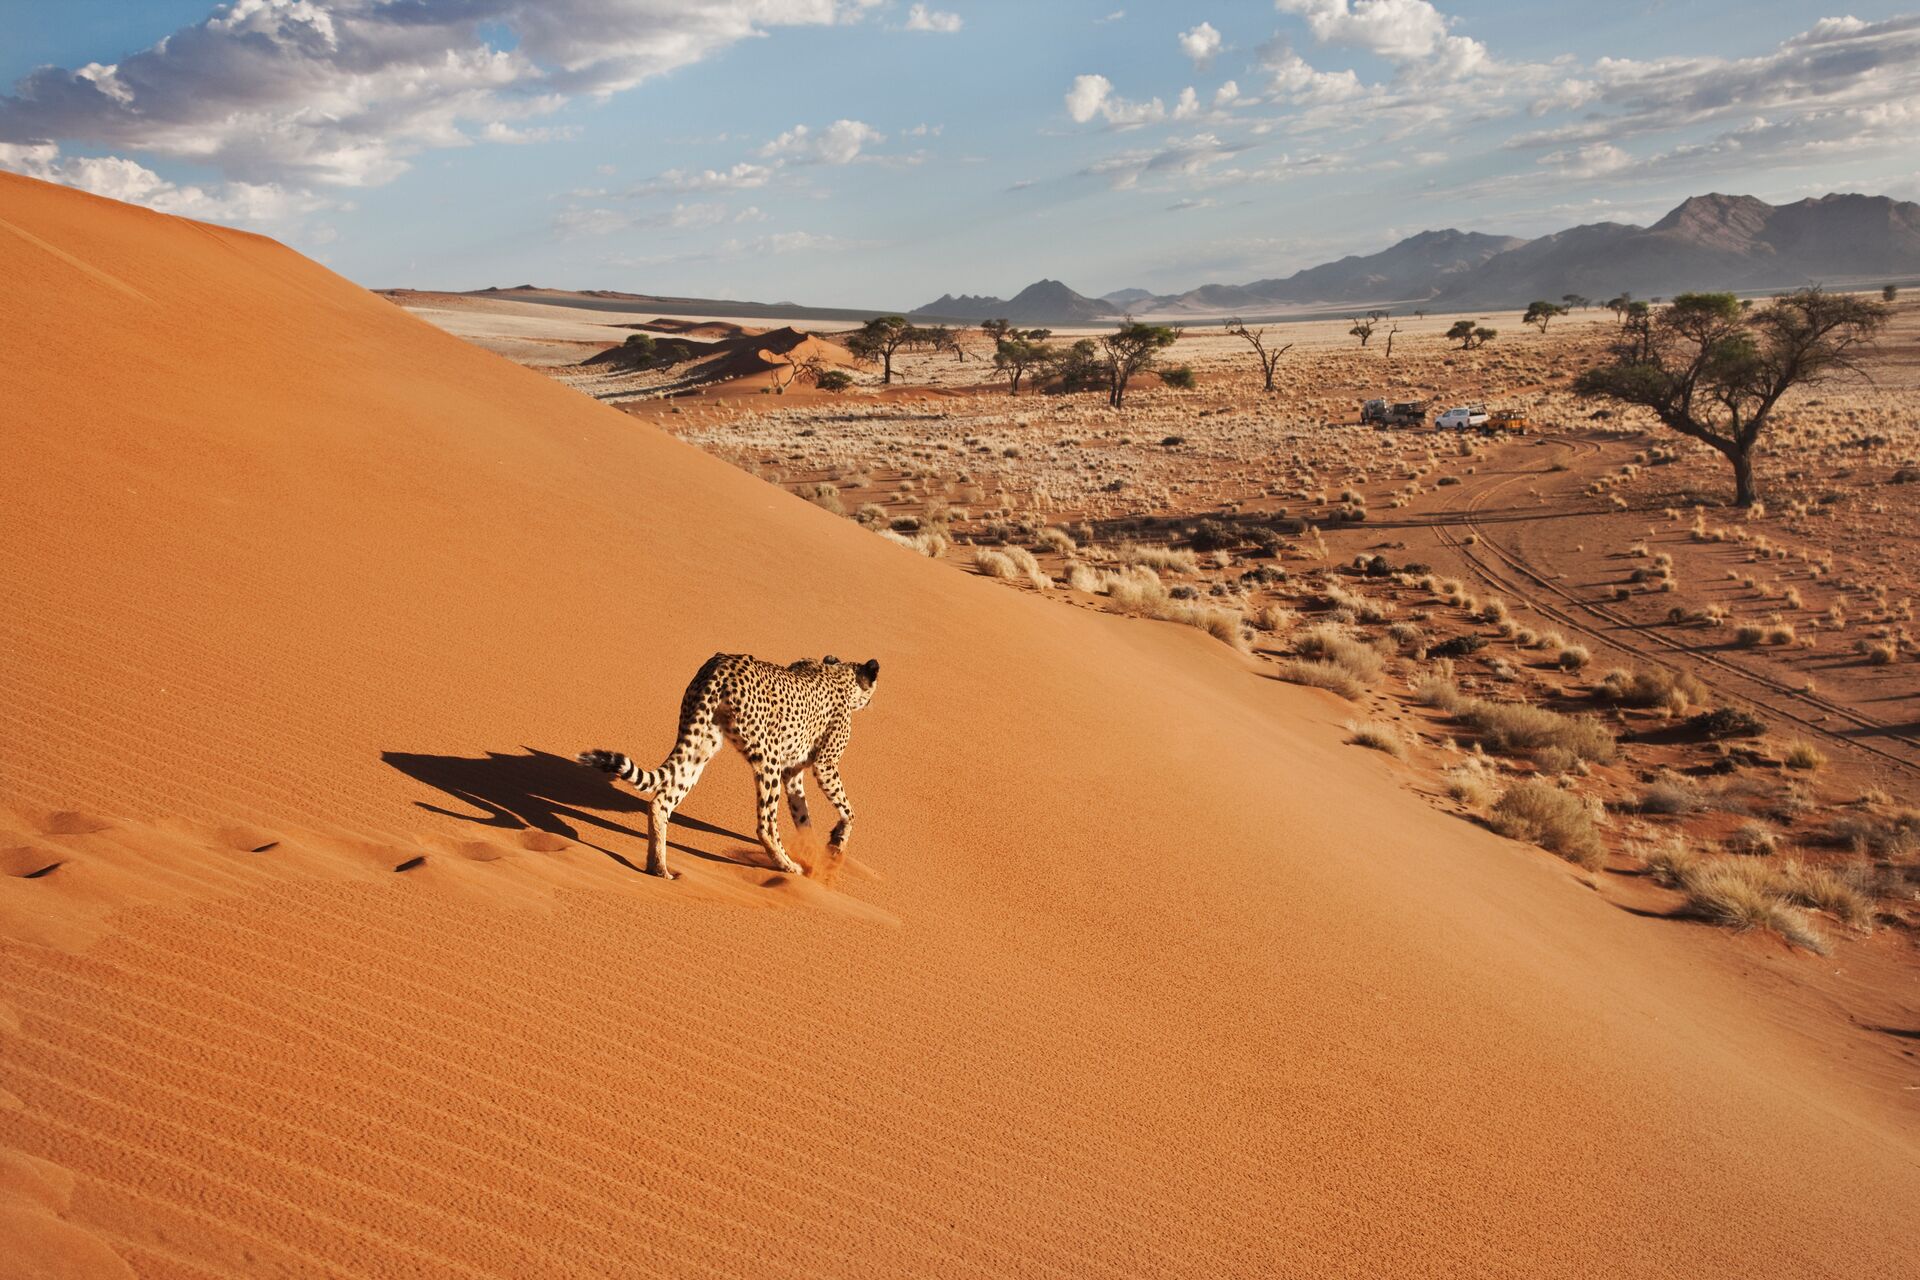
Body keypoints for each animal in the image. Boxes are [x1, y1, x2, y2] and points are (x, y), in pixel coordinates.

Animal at [579, 652, 880, 880]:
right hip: (767, 756)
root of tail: (723, 666)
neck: (838, 673)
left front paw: (814, 850)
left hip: (701, 745)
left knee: (661, 801)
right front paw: (835, 843)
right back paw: (786, 865)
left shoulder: (792, 772)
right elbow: (849, 810)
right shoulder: (824, 765)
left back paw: (659, 868)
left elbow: (803, 815)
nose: (871, 703)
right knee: (765, 824)